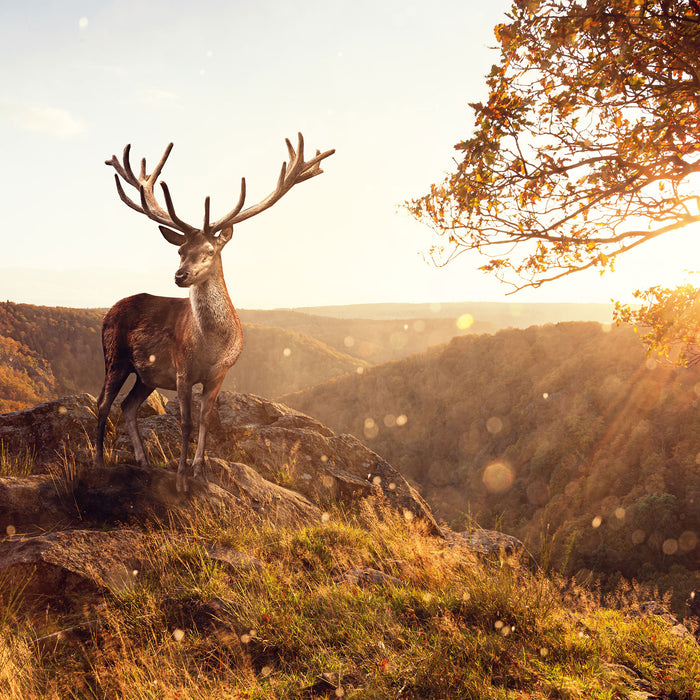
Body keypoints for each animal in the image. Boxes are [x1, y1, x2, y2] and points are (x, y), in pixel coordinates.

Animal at [94, 133, 334, 492]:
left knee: (128, 404)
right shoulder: (181, 369)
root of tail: (108, 312)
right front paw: (181, 478)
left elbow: (206, 420)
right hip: (115, 355)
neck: (211, 346)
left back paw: (143, 462)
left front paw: (200, 471)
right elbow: (185, 422)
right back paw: (96, 463)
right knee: (103, 403)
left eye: (209, 250)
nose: (179, 275)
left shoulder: (220, 373)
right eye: (180, 250)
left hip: (147, 374)